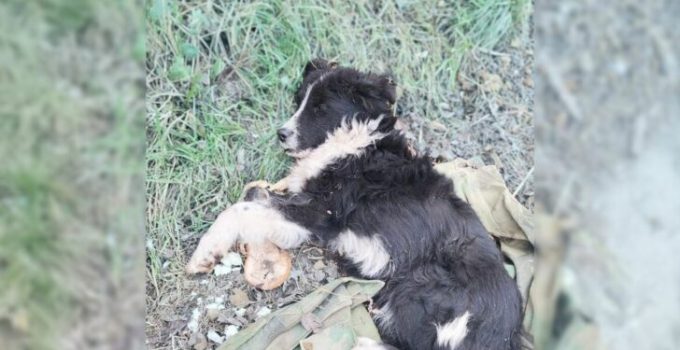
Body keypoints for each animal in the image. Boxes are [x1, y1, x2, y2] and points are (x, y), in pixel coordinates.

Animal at [189, 58, 524, 348]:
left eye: (320, 109)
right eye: (299, 102)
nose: (281, 134)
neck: (353, 141)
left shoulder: (320, 213)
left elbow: (239, 209)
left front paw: (203, 255)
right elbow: (255, 198)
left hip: (422, 290)